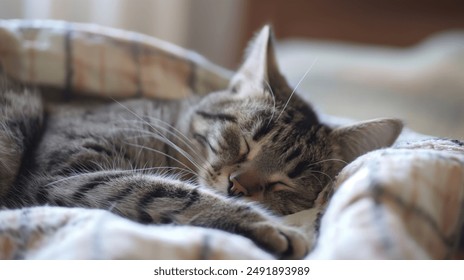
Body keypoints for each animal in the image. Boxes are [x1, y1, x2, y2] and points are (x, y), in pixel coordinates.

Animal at [0, 25, 402, 260]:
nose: (238, 186)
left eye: (286, 181)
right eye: (246, 142)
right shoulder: (62, 175)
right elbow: (170, 191)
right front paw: (274, 228)